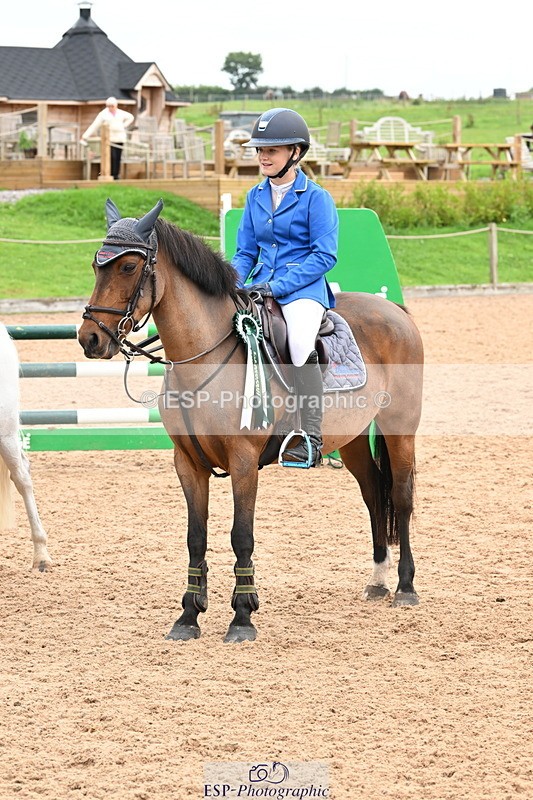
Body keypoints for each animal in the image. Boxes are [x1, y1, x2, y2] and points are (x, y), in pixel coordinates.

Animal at [78, 199, 424, 643]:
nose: (90, 339)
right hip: (351, 440)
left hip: (400, 428)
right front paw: (188, 617)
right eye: (96, 265)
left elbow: (241, 535)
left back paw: (406, 587)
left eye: (127, 267)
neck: (205, 355)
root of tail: (394, 309)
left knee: (400, 495)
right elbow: (195, 537)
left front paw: (242, 617)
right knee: (371, 495)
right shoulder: (187, 463)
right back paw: (378, 581)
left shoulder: (243, 461)